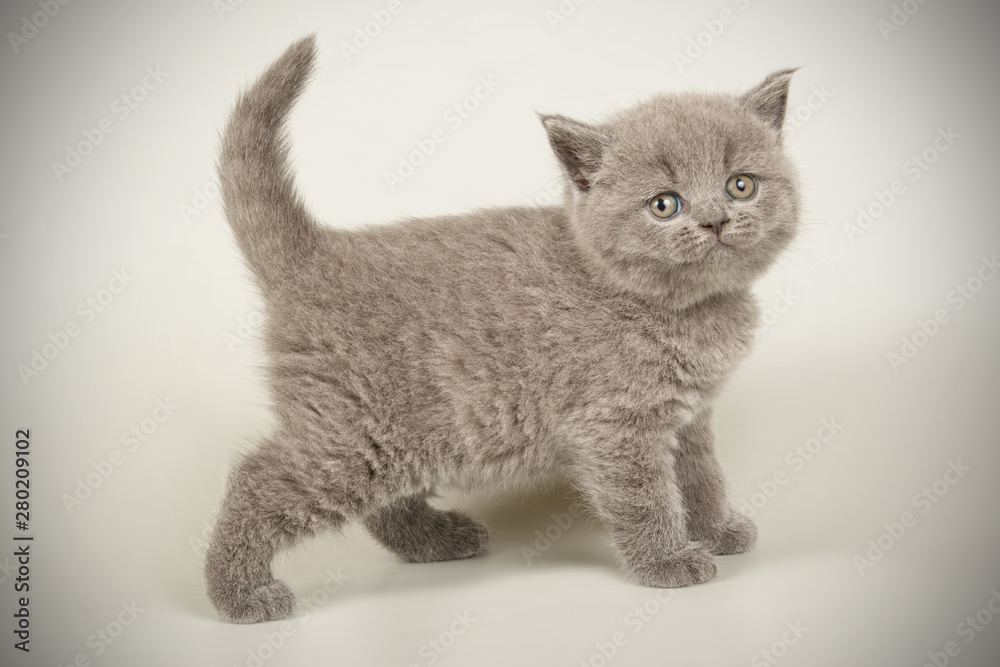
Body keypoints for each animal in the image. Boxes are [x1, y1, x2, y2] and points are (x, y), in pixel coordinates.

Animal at [203, 34, 796, 624]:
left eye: (741, 185)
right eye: (664, 204)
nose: (715, 221)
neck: (687, 308)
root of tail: (315, 253)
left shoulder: (690, 414)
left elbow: (700, 476)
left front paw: (716, 529)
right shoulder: (614, 424)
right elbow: (645, 496)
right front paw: (667, 560)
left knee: (381, 505)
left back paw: (435, 540)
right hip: (354, 435)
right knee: (257, 481)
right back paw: (240, 592)